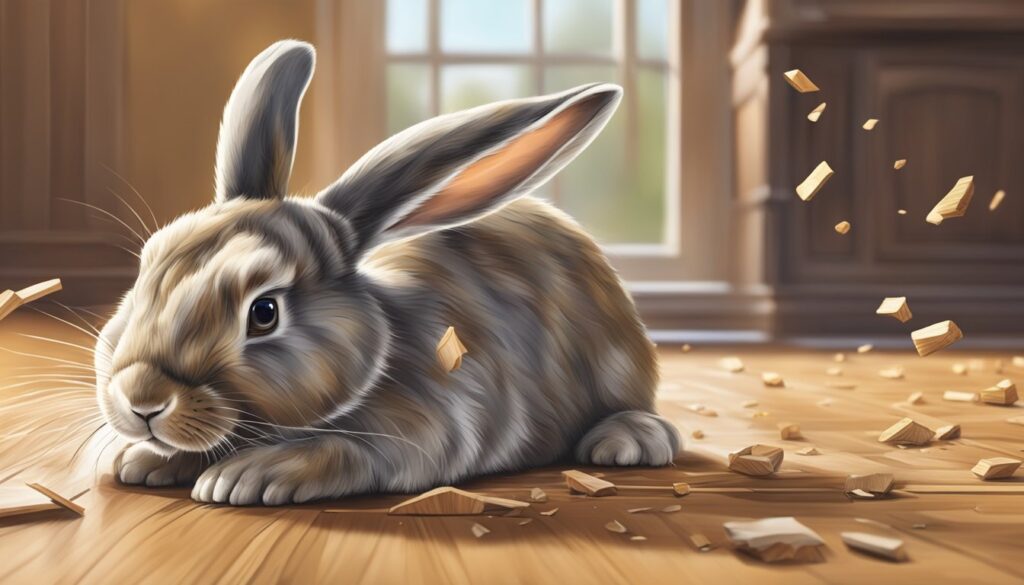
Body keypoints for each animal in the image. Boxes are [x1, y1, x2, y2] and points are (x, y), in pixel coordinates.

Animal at [96, 40, 681, 506]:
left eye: (264, 312)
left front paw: (247, 477)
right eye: (147, 270)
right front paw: (143, 461)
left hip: (619, 369)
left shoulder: (428, 431)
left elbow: (343, 451)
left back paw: (627, 440)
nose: (142, 399)